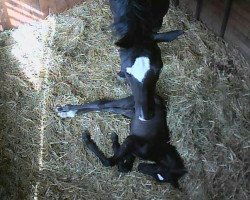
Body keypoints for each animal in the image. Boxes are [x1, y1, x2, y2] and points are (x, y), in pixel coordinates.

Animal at [55, 95, 187, 188]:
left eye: (159, 176)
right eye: (158, 170)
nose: (140, 168)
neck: (161, 150)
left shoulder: (132, 151)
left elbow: (124, 168)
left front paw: (114, 141)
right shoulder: (131, 140)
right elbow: (109, 162)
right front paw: (88, 140)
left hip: (129, 112)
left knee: (106, 108)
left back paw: (68, 113)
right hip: (129, 102)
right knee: (102, 104)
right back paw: (66, 110)